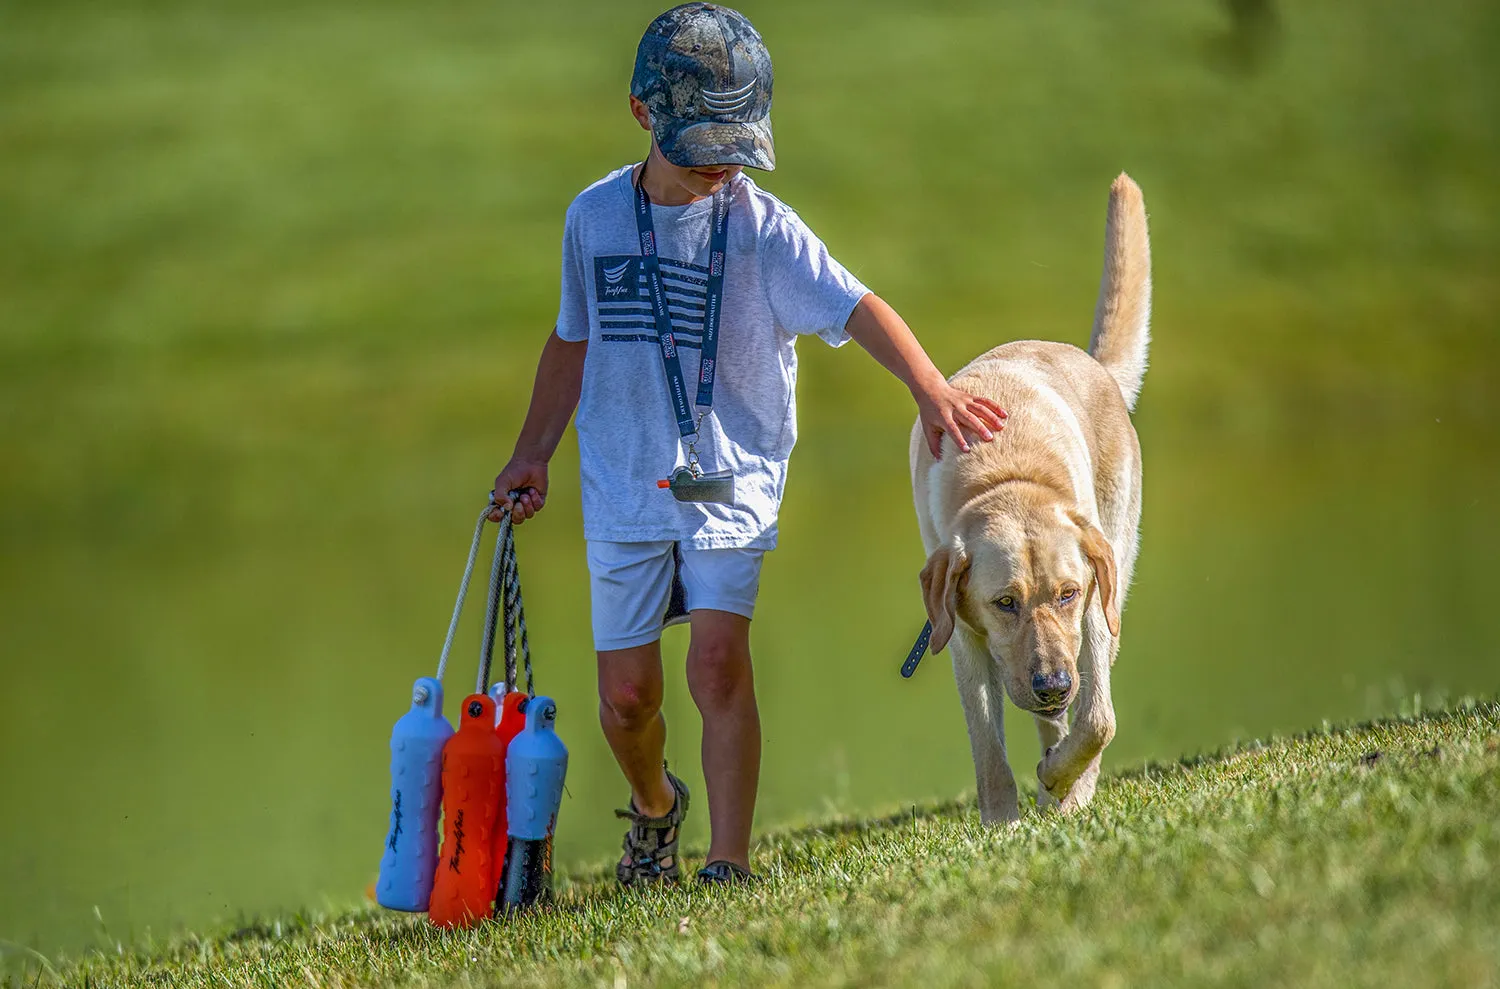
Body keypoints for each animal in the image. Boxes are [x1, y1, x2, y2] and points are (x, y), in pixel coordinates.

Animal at [912, 174, 1146, 822]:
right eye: (1004, 603)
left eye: (1066, 593)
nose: (1051, 686)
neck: (1007, 479)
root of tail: (1092, 363)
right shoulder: (962, 638)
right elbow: (989, 752)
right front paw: (1003, 823)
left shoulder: (1092, 604)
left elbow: (1100, 720)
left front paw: (1065, 781)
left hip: (1114, 581)